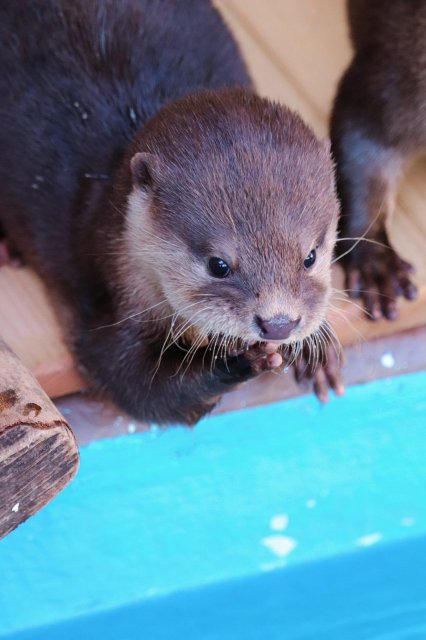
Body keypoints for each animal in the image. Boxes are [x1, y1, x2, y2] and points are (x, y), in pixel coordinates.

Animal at [0, 0, 340, 424]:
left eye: (310, 256)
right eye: (218, 265)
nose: (279, 324)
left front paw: (318, 354)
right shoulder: (103, 298)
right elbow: (133, 383)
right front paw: (239, 360)